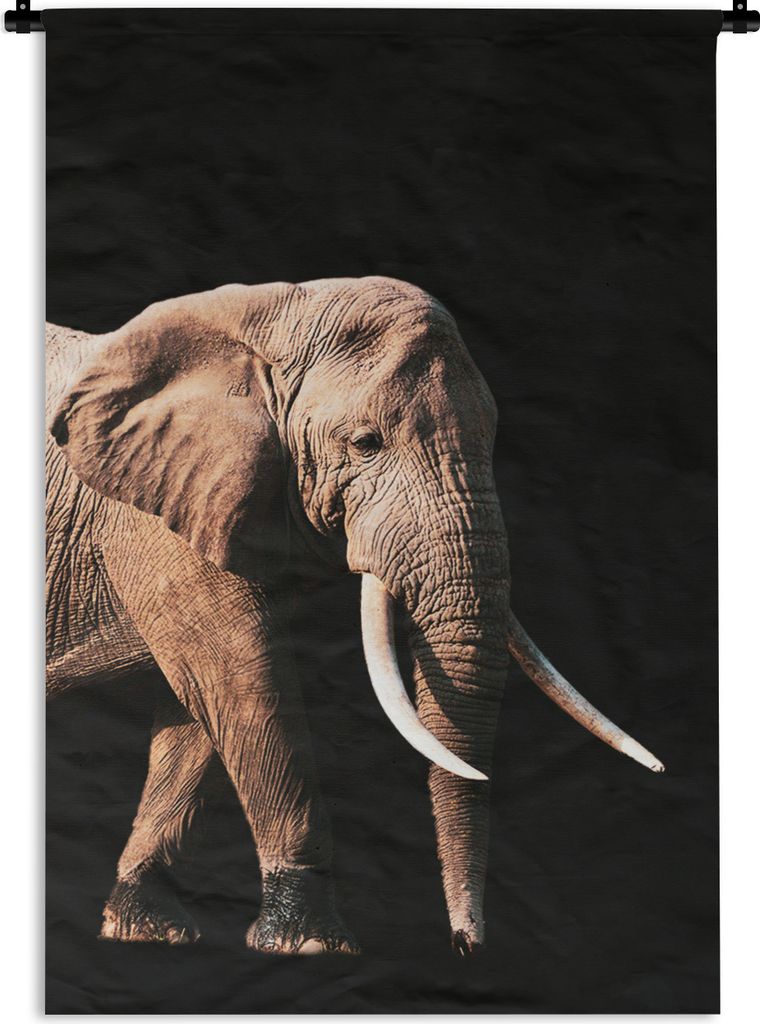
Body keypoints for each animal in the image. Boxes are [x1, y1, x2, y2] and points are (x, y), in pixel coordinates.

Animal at [46, 276, 663, 956]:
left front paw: (145, 929)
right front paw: (311, 944)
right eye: (366, 444)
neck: (271, 313)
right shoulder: (154, 514)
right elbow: (243, 680)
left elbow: (197, 710)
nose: (466, 945)